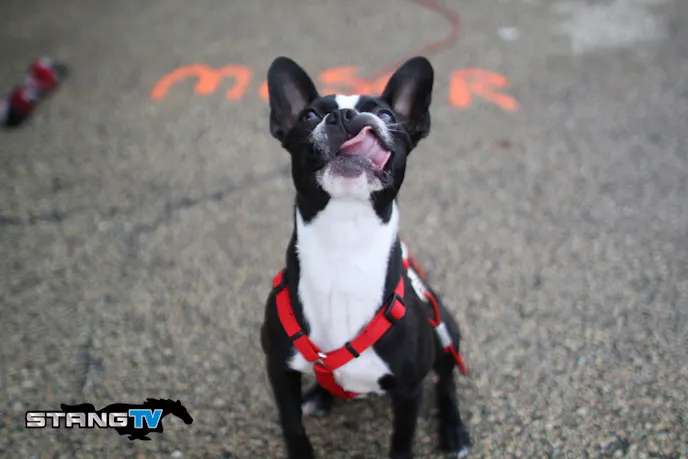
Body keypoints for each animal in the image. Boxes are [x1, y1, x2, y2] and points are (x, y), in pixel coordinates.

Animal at [260, 55, 471, 459]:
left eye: (387, 115)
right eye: (310, 115)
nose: (345, 116)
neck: (344, 241)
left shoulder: (408, 389)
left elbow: (402, 439)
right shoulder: (280, 370)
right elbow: (292, 426)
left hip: (445, 327)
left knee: (446, 377)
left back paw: (453, 430)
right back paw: (320, 396)